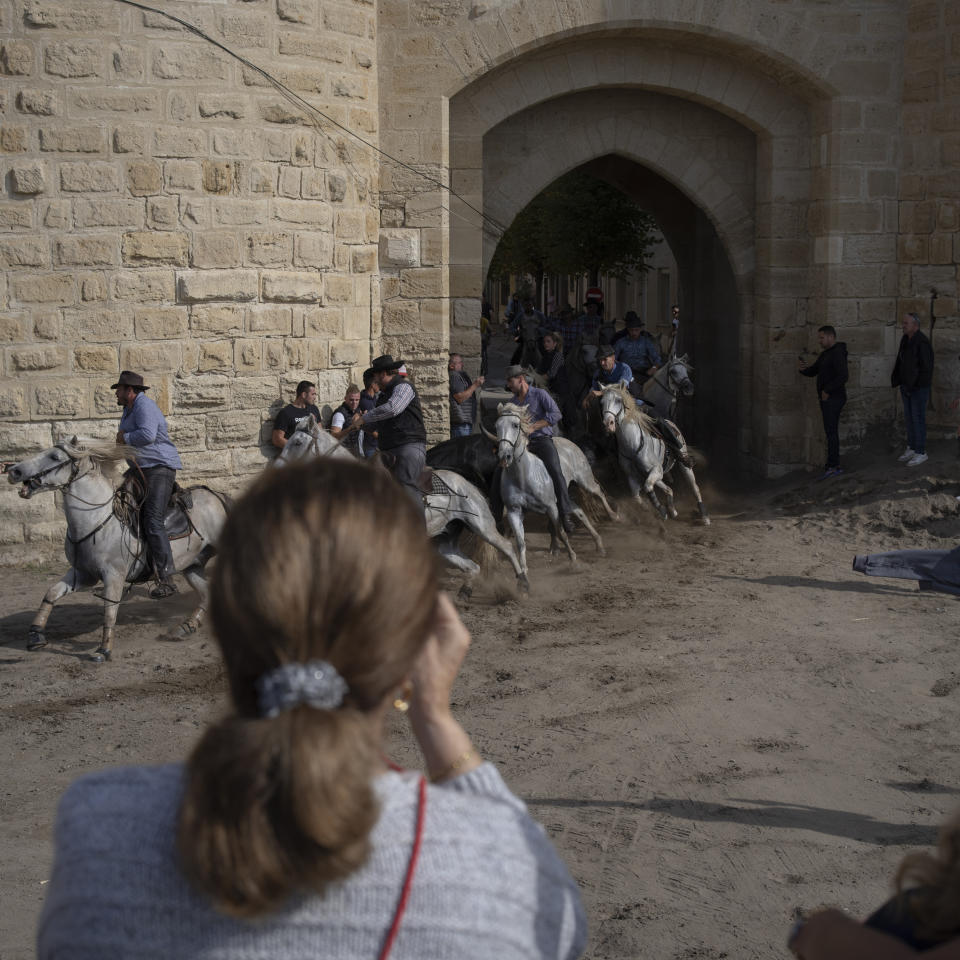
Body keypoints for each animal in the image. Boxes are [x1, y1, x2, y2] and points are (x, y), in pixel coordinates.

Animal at [4, 440, 229, 660]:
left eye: (54, 457)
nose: (14, 470)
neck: (98, 520)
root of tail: (217, 496)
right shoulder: (83, 574)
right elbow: (52, 593)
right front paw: (35, 635)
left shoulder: (114, 575)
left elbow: (110, 610)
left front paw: (103, 649)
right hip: (192, 565)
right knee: (206, 593)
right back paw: (186, 627)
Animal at [272, 412, 524, 592]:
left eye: (297, 442)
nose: (276, 469)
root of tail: (465, 482)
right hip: (445, 541)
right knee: (473, 567)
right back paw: (467, 589)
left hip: (481, 524)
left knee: (507, 547)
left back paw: (523, 584)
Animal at [480, 402, 616, 572]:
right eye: (497, 426)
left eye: (515, 425)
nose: (504, 456)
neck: (523, 476)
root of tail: (571, 443)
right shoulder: (514, 511)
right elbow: (520, 542)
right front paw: (523, 570)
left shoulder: (551, 507)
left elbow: (561, 532)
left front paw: (574, 560)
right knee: (579, 510)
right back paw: (598, 544)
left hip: (584, 479)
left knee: (598, 492)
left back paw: (614, 516)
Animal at [604, 382, 708, 524]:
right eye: (601, 402)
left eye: (618, 400)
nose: (608, 423)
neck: (632, 443)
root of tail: (672, 423)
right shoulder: (632, 476)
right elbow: (636, 496)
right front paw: (654, 509)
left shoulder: (656, 470)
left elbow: (648, 488)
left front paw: (662, 510)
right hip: (657, 475)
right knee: (669, 489)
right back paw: (673, 510)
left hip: (683, 465)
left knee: (694, 488)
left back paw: (704, 516)